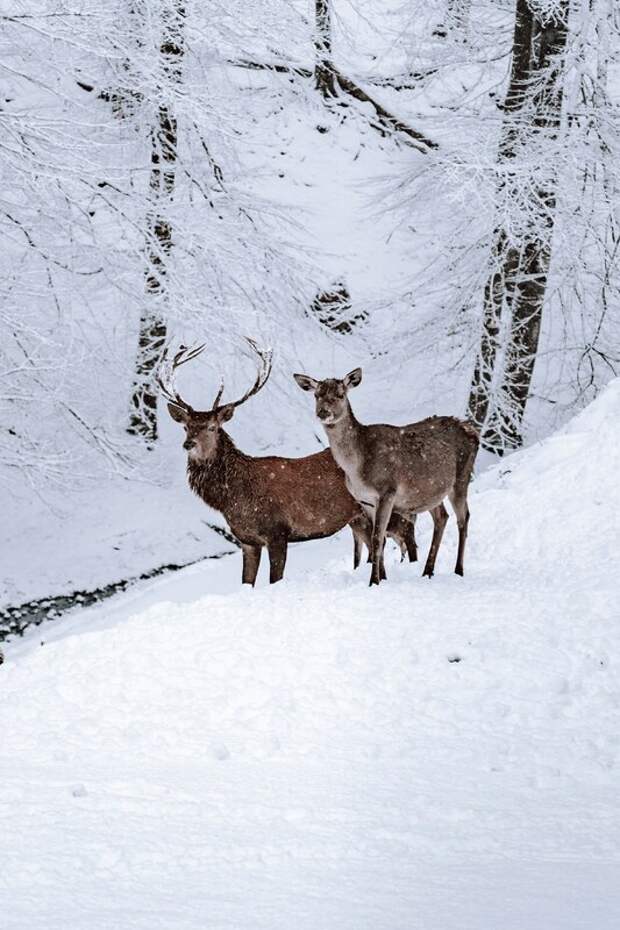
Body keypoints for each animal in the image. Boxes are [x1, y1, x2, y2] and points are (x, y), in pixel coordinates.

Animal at [157, 344, 418, 584]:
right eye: (186, 426)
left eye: (212, 427)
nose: (188, 444)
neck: (233, 497)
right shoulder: (247, 540)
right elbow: (246, 582)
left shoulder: (277, 532)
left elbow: (275, 579)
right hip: (358, 519)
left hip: (391, 505)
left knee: (407, 534)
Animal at [294, 366, 478, 584]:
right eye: (316, 395)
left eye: (340, 394)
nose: (323, 412)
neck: (356, 470)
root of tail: (473, 432)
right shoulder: (365, 501)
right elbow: (378, 539)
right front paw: (382, 578)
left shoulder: (387, 491)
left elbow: (376, 538)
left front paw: (373, 581)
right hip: (429, 491)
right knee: (442, 517)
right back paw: (427, 571)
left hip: (461, 478)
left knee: (464, 518)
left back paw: (458, 570)